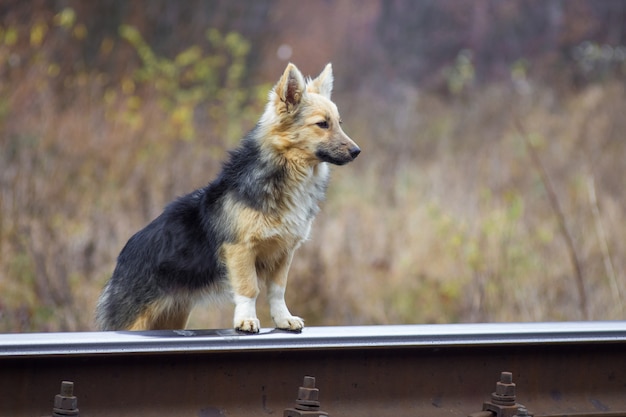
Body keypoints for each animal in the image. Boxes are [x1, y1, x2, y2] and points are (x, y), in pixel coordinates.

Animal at [97, 62, 360, 332]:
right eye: (322, 124)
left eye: (339, 123)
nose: (356, 151)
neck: (287, 173)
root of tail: (121, 259)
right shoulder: (240, 249)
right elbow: (249, 288)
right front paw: (246, 319)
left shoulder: (284, 252)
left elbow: (277, 291)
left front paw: (283, 319)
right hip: (134, 323)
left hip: (172, 316)